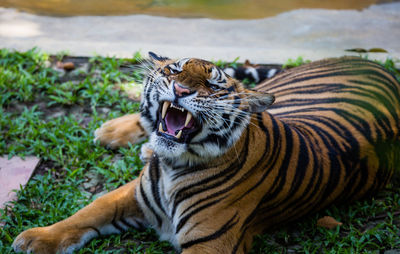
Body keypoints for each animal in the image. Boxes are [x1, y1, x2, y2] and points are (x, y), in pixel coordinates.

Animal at [12, 52, 400, 253]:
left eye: (213, 84)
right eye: (174, 70)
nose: (181, 90)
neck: (172, 165)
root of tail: (377, 66)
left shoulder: (210, 243)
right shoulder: (132, 196)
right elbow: (87, 212)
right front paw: (35, 238)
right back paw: (111, 132)